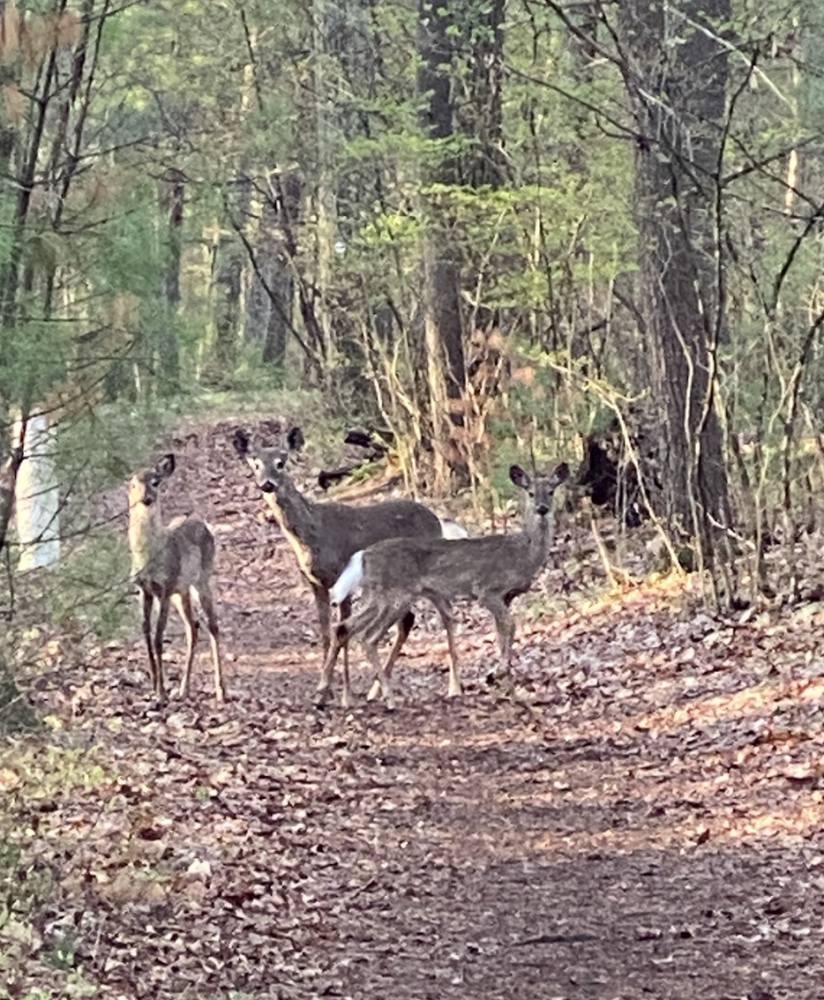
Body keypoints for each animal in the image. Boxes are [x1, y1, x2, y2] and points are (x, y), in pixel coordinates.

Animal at [127, 454, 226, 704]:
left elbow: (158, 637)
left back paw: (221, 690)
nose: (147, 499)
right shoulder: (144, 589)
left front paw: (161, 693)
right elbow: (146, 633)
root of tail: (204, 524)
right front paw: (154, 685)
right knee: (193, 627)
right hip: (182, 591)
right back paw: (184, 688)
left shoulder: (165, 586)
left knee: (213, 625)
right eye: (132, 485)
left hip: (202, 578)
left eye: (155, 482)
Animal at [231, 425, 466, 707]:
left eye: (281, 462)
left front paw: (342, 694)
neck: (314, 536)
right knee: (408, 620)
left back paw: (454, 687)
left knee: (447, 613)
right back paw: (377, 690)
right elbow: (325, 633)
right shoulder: (316, 583)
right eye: (255, 463)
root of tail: (437, 520)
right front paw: (328, 690)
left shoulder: (342, 581)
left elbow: (340, 633)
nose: (267, 483)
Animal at [321, 461, 570, 709]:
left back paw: (323, 693)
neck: (523, 554)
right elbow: (511, 625)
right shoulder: (487, 590)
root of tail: (363, 555)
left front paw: (509, 689)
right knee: (368, 637)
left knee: (344, 627)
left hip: (378, 596)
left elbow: (501, 633)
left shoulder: (506, 597)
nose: (542, 508)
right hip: (395, 596)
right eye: (530, 492)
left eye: (551, 491)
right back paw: (388, 698)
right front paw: (498, 674)